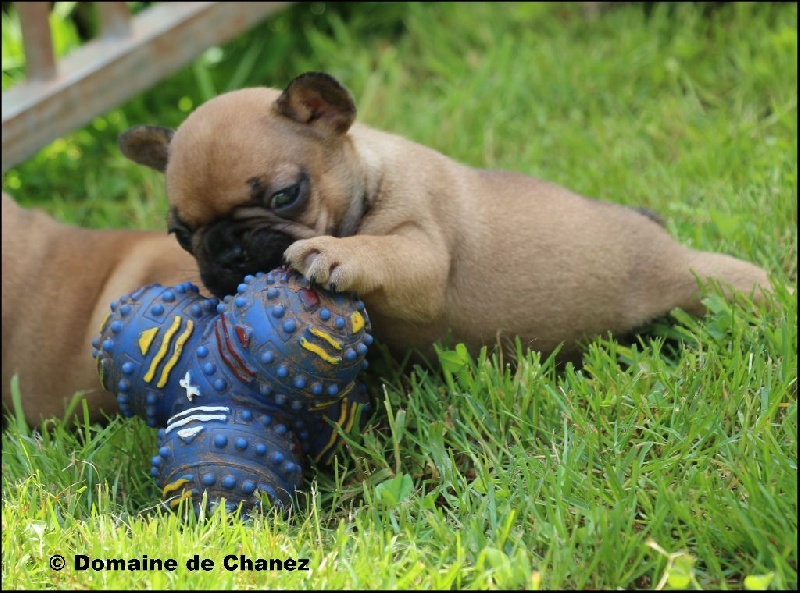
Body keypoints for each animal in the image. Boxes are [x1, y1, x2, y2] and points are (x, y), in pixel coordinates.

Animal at [117, 72, 775, 362]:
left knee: (730, 277)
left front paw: (336, 253)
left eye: (285, 196)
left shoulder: (422, 255)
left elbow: (386, 252)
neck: (368, 177)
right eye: (181, 235)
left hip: (693, 277)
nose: (226, 252)